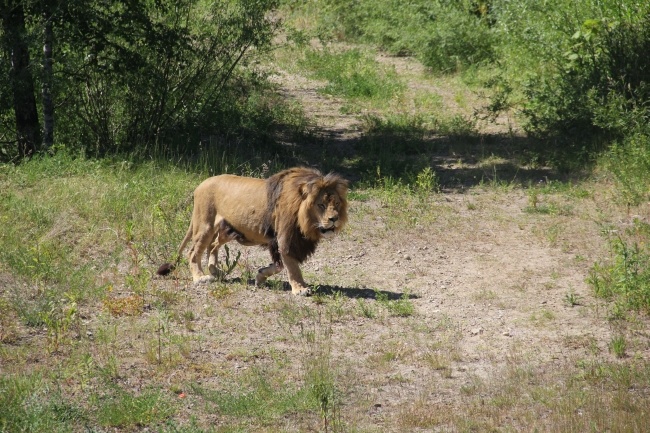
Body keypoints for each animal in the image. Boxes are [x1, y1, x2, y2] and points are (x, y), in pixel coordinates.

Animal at [158, 167, 346, 296]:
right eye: (321, 205)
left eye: (336, 204)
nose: (334, 218)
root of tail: (200, 185)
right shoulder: (285, 238)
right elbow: (292, 267)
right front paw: (300, 288)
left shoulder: (278, 241)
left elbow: (279, 265)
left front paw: (260, 276)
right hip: (205, 225)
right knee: (193, 252)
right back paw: (200, 277)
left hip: (226, 231)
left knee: (213, 245)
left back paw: (215, 271)